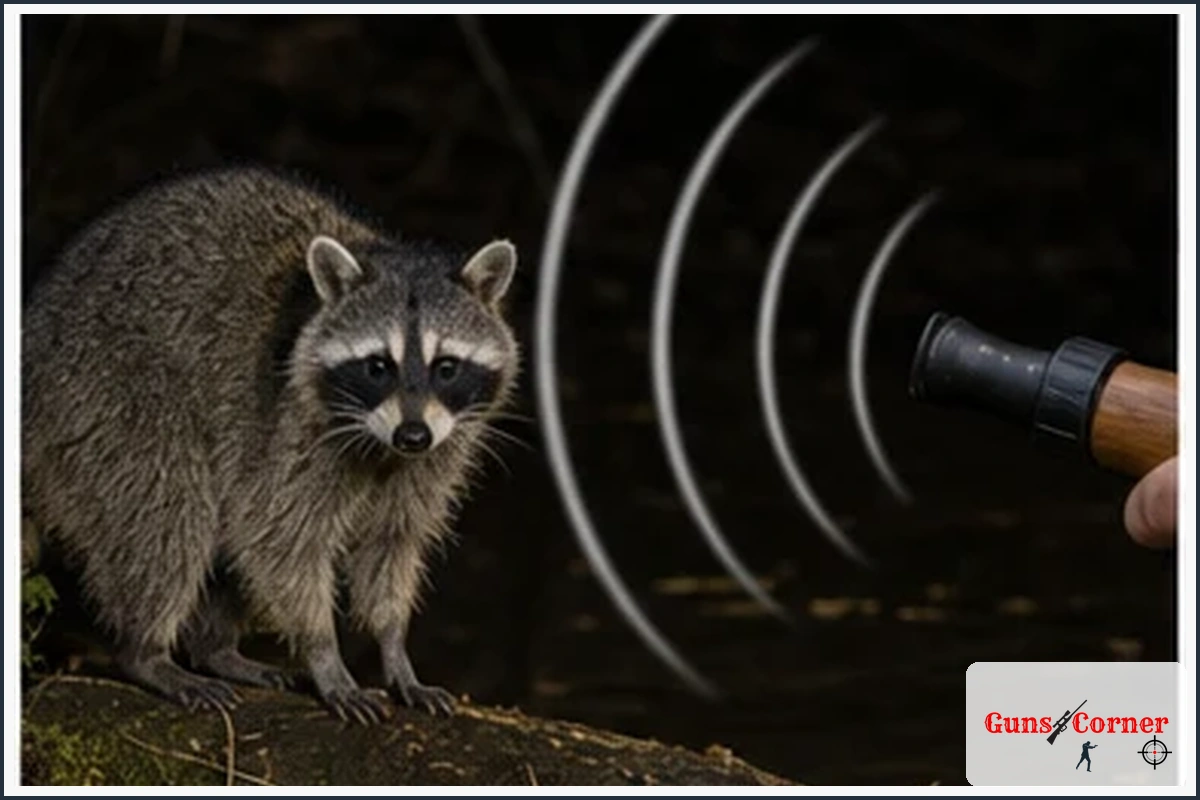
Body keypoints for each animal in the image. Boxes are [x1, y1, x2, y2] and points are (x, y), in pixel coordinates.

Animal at [21, 167, 520, 723]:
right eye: (378, 366)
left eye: (446, 367)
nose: (412, 435)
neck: (381, 445)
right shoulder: (287, 429)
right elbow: (280, 539)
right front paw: (325, 654)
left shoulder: (434, 457)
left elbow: (390, 544)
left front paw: (394, 648)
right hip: (108, 395)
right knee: (169, 510)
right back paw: (146, 651)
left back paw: (216, 649)